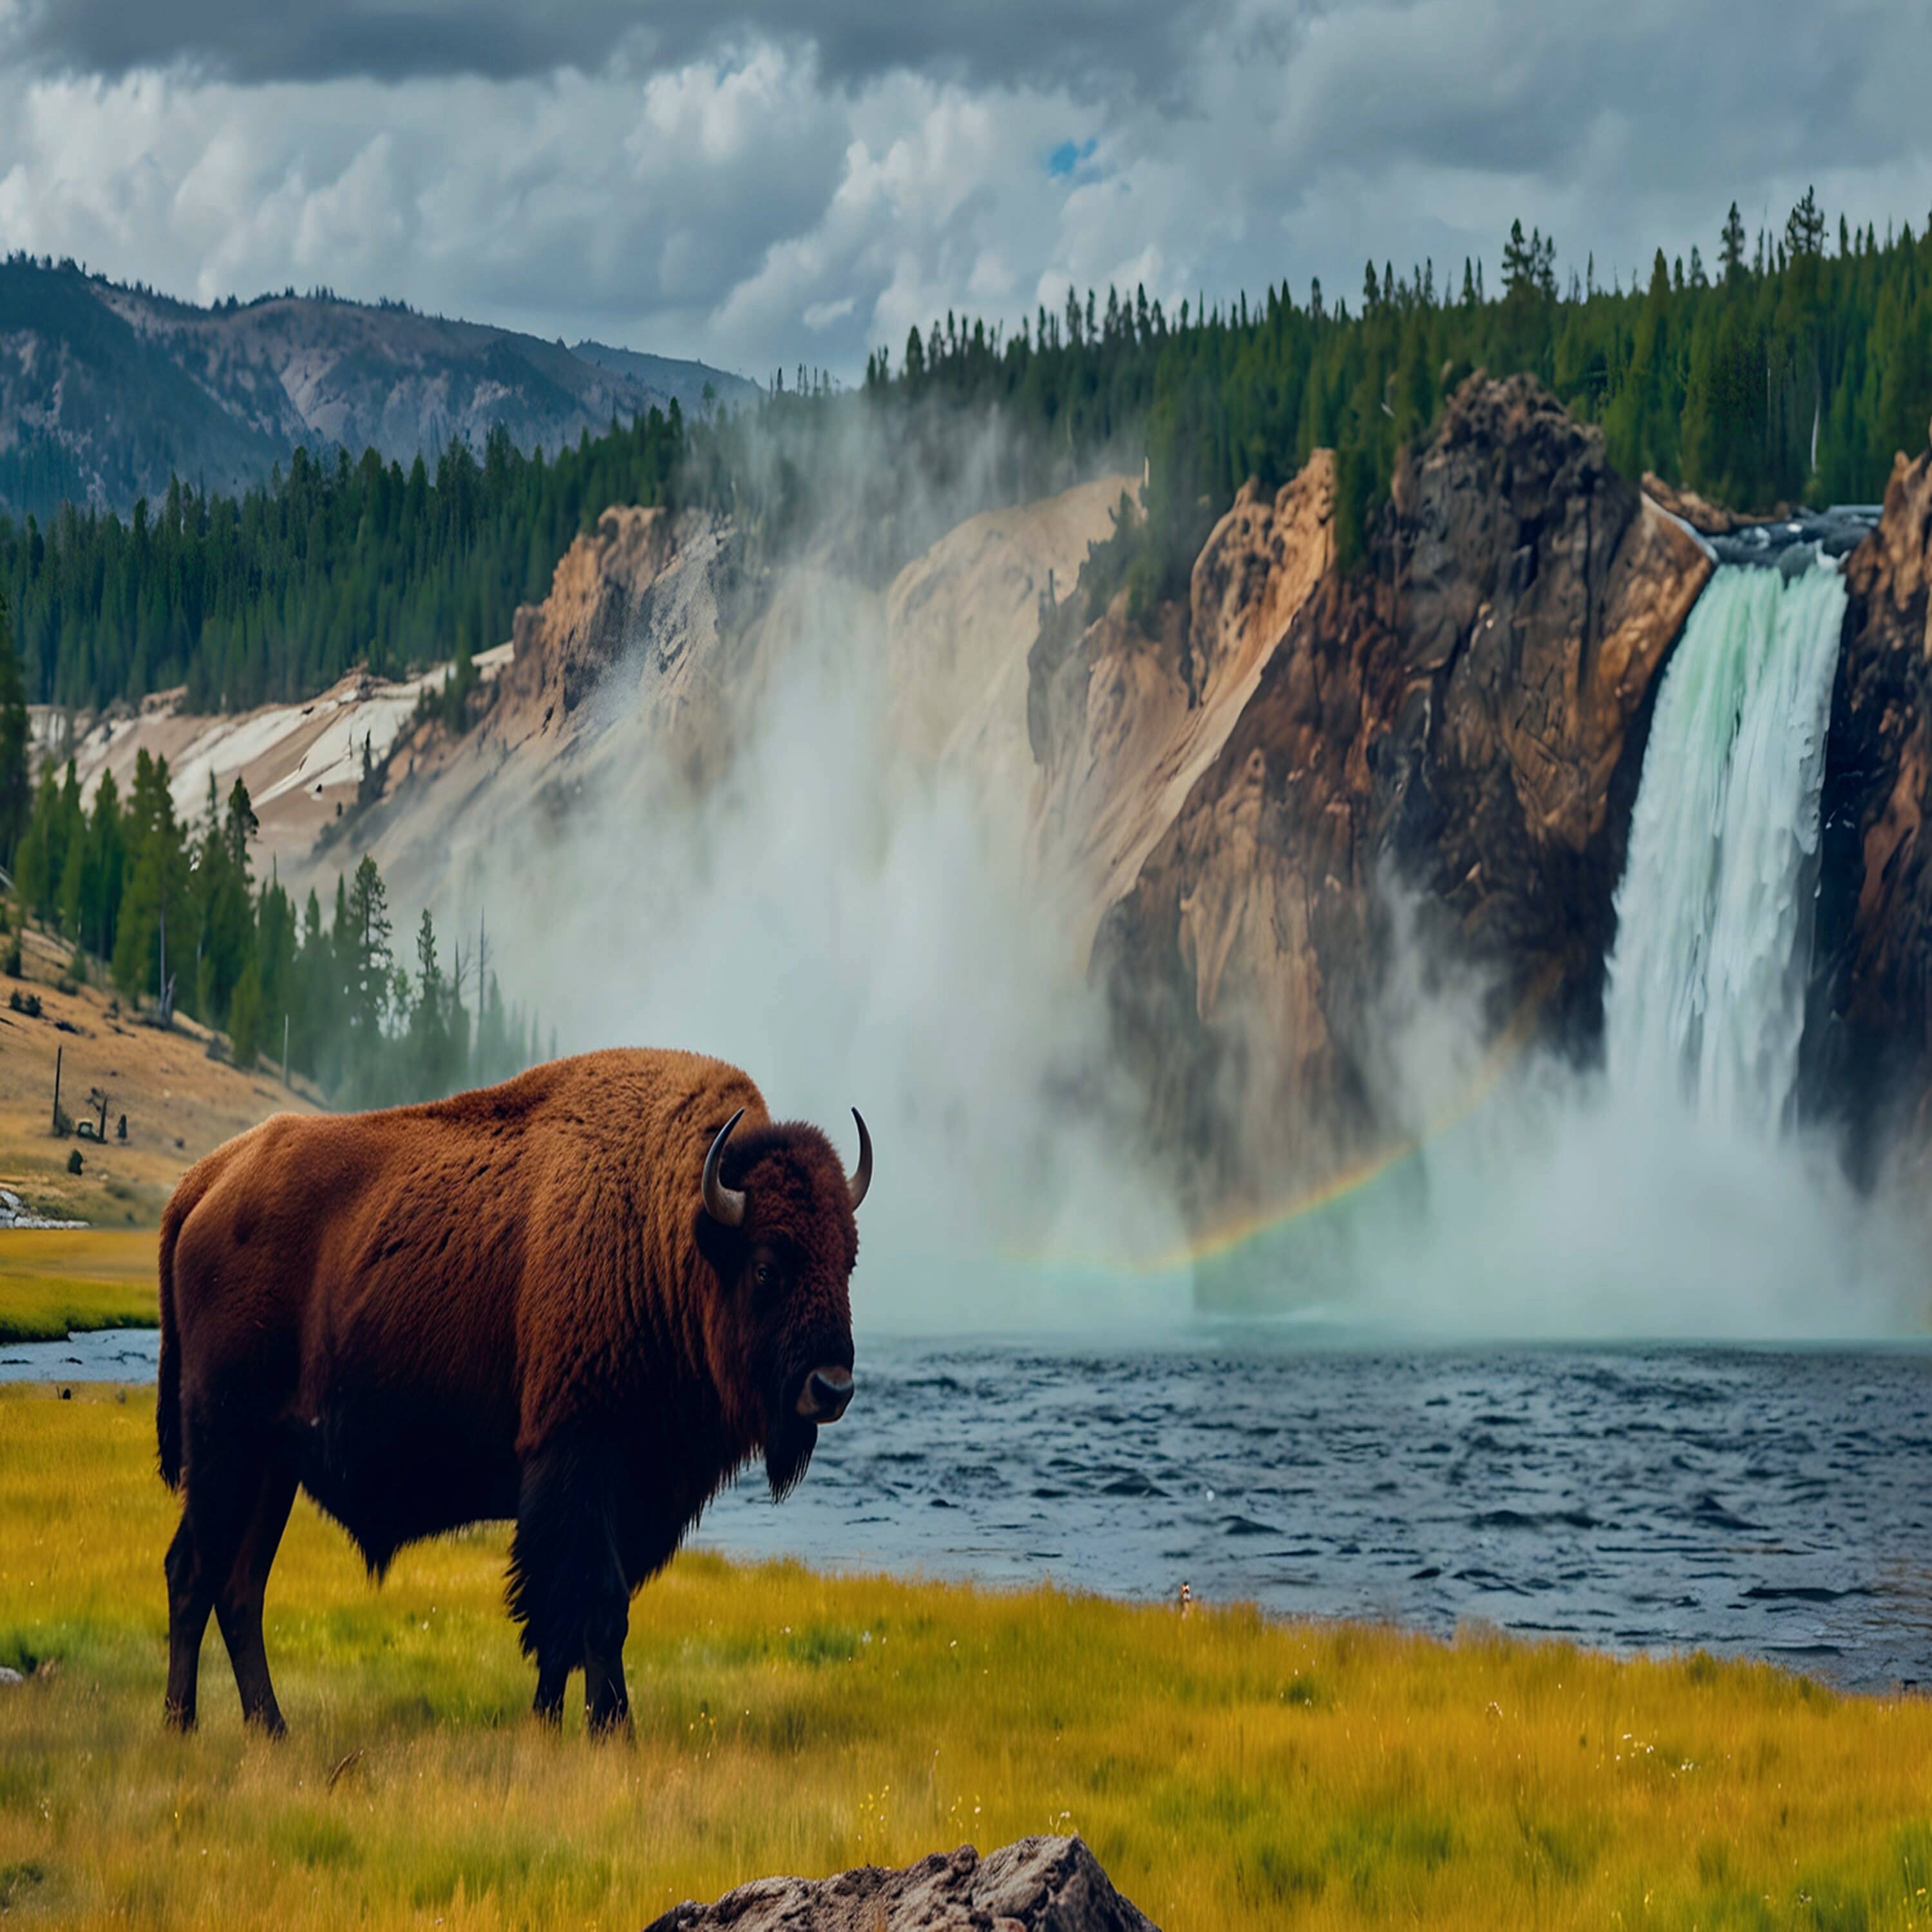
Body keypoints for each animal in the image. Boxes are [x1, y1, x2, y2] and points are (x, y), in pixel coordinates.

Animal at [156, 1048, 869, 1736]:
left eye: (848, 1261)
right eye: (767, 1266)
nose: (831, 1387)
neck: (664, 1234)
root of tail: (204, 1183)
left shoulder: (634, 1493)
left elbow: (564, 1630)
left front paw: (551, 1723)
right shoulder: (578, 1466)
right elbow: (594, 1611)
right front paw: (613, 1733)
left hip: (270, 1469)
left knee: (238, 1588)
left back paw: (270, 1727)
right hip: (225, 1445)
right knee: (194, 1572)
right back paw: (183, 1724)